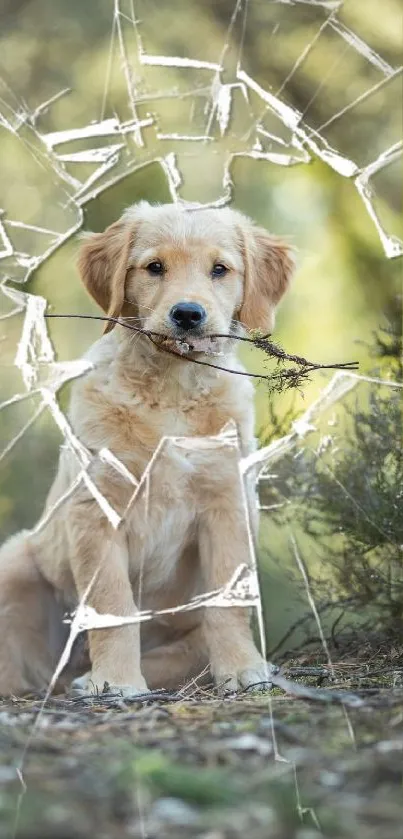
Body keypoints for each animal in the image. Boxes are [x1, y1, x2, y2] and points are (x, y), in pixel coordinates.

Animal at [0, 202, 294, 696]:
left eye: (220, 270)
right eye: (154, 267)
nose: (188, 314)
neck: (172, 389)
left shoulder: (227, 503)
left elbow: (227, 600)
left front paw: (241, 669)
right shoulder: (97, 508)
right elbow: (112, 604)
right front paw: (117, 682)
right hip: (16, 561)